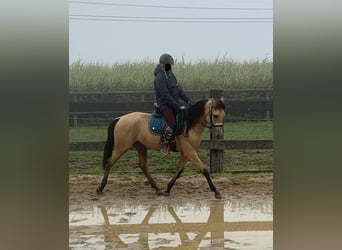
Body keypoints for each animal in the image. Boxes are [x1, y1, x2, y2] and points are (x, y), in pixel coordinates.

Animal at [96, 96, 226, 198]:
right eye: (215, 115)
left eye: (223, 115)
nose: (218, 134)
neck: (189, 126)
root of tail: (120, 118)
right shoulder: (190, 152)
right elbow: (204, 170)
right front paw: (216, 192)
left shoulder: (186, 153)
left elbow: (179, 170)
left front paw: (168, 189)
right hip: (121, 148)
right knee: (109, 164)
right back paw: (100, 188)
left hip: (141, 146)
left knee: (143, 166)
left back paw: (157, 189)